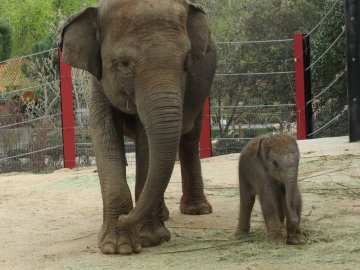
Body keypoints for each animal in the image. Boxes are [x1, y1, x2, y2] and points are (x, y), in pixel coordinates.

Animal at [60, 0, 217, 253]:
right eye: (123, 64)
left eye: (186, 61)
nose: (126, 218)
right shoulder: (99, 79)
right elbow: (103, 133)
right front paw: (117, 247)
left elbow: (147, 142)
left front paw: (150, 239)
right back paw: (163, 215)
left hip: (201, 93)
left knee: (189, 138)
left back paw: (196, 210)